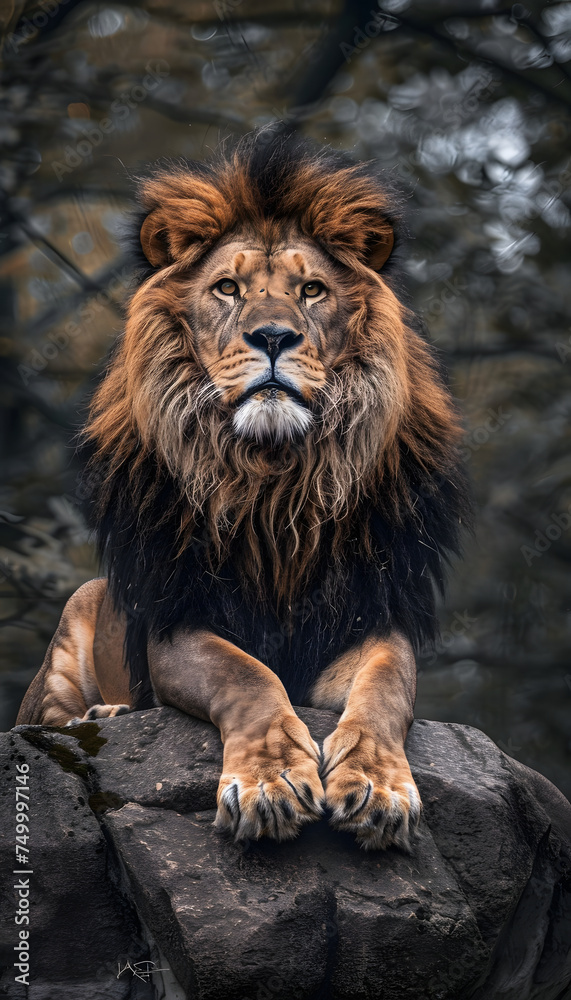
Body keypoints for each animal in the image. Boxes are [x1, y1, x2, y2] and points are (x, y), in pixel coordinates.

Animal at [17, 131, 469, 851]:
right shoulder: (179, 617)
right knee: (50, 724)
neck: (275, 484)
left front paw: (378, 788)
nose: (274, 336)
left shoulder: (369, 614)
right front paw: (271, 783)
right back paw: (106, 713)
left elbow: (384, 690)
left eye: (311, 290)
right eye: (227, 288)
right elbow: (245, 674)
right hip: (74, 621)